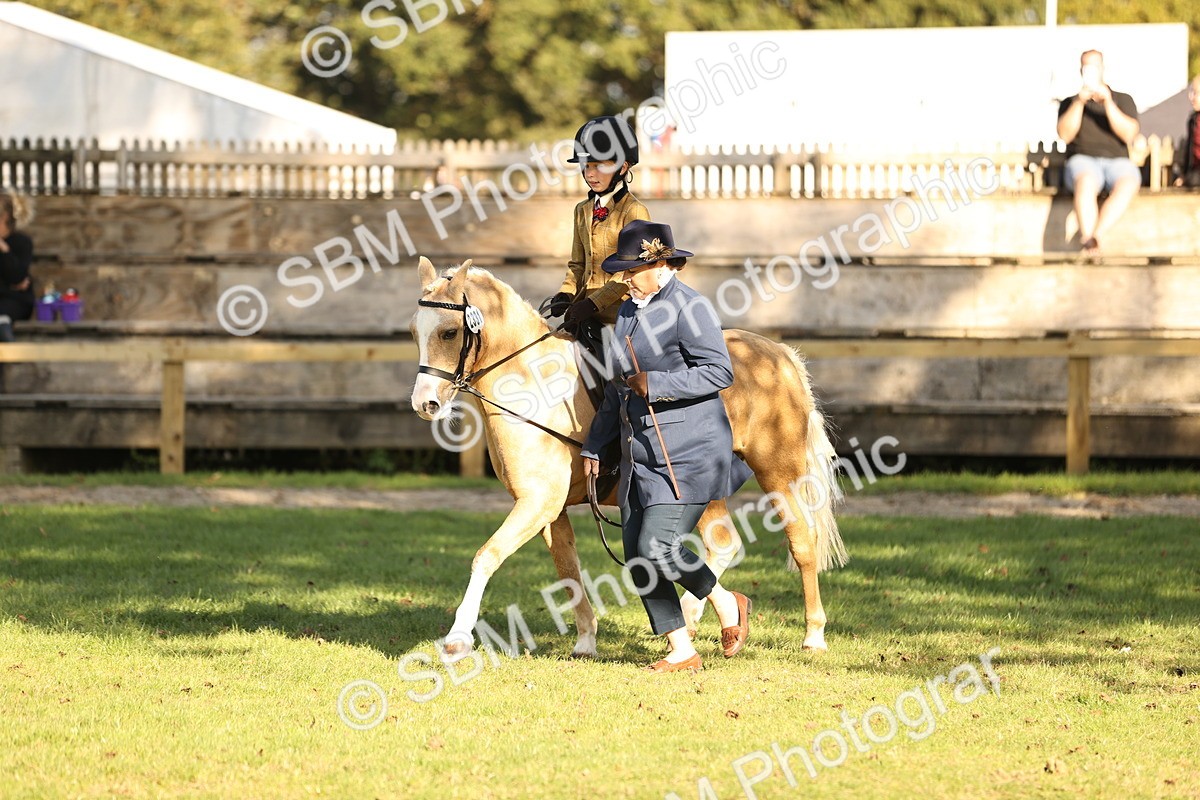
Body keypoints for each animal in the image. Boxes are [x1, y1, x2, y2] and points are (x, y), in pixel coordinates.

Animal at [409, 256, 846, 658]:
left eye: (449, 332)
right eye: (415, 332)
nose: (424, 404)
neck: (532, 385)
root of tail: (777, 352)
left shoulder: (537, 503)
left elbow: (487, 555)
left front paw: (458, 639)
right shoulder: (549, 508)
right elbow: (568, 571)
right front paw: (586, 641)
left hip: (779, 473)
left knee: (801, 545)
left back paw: (813, 636)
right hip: (701, 488)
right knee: (724, 543)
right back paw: (702, 620)